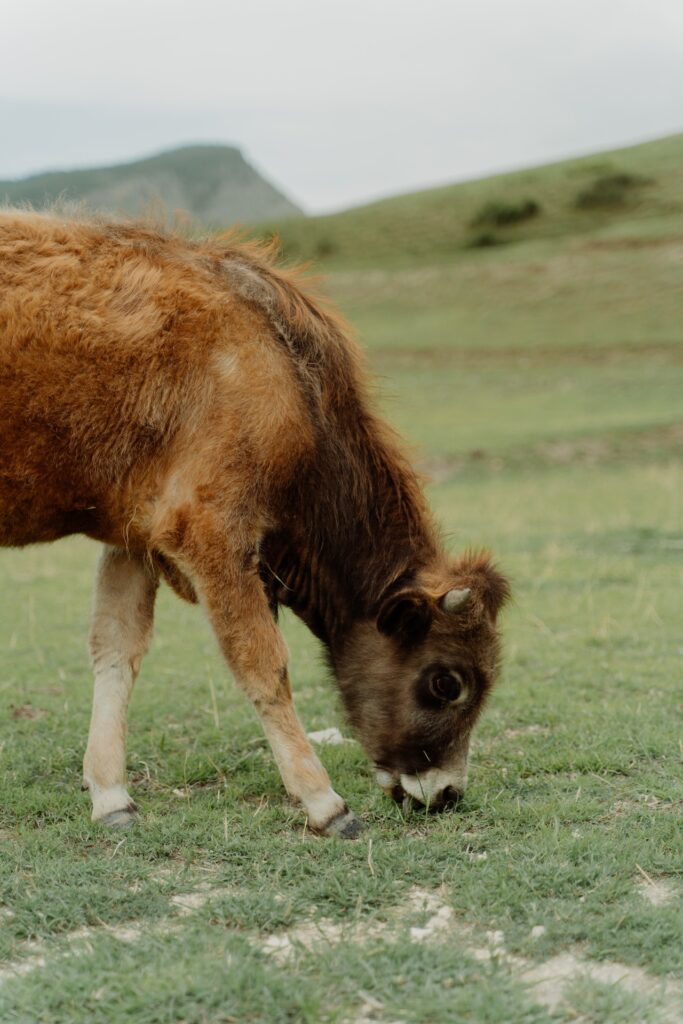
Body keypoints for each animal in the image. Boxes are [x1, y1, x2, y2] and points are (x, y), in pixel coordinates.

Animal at [0, 209, 507, 839]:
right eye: (446, 682)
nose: (446, 794)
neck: (286, 373)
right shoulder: (213, 533)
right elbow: (263, 664)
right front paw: (326, 804)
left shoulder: (133, 537)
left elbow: (116, 649)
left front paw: (112, 796)